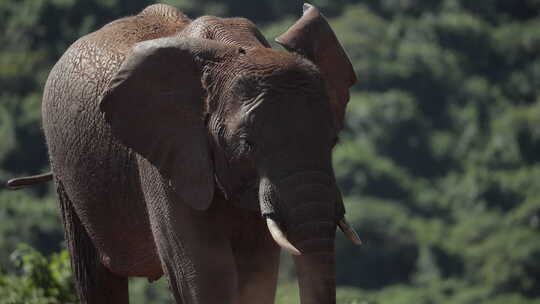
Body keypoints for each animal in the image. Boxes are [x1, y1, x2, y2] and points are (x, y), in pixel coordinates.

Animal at [11, 2, 358, 304]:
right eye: (248, 144)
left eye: (333, 142)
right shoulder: (168, 154)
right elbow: (205, 271)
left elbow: (256, 269)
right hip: (64, 166)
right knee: (95, 276)